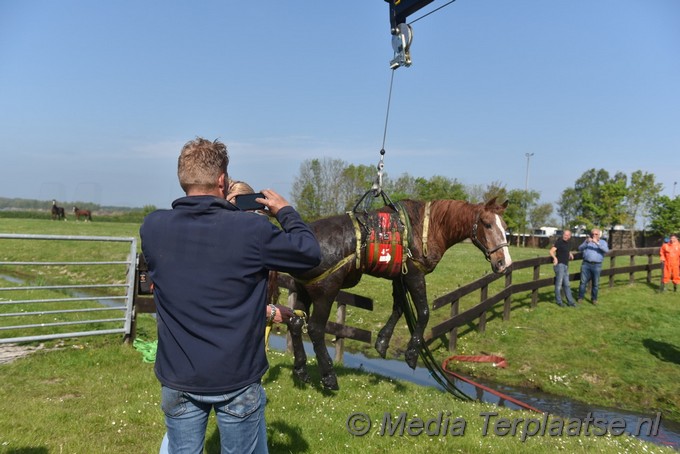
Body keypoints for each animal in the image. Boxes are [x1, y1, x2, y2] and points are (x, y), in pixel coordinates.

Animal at [278, 199, 510, 390]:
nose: (504, 263)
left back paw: (301, 370)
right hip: (326, 291)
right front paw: (412, 353)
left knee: (296, 323)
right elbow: (423, 312)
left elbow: (399, 308)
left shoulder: (399, 277)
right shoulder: (414, 274)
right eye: (487, 224)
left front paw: (382, 342)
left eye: (505, 228)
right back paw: (329, 377)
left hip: (303, 289)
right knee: (315, 329)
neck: (426, 227)